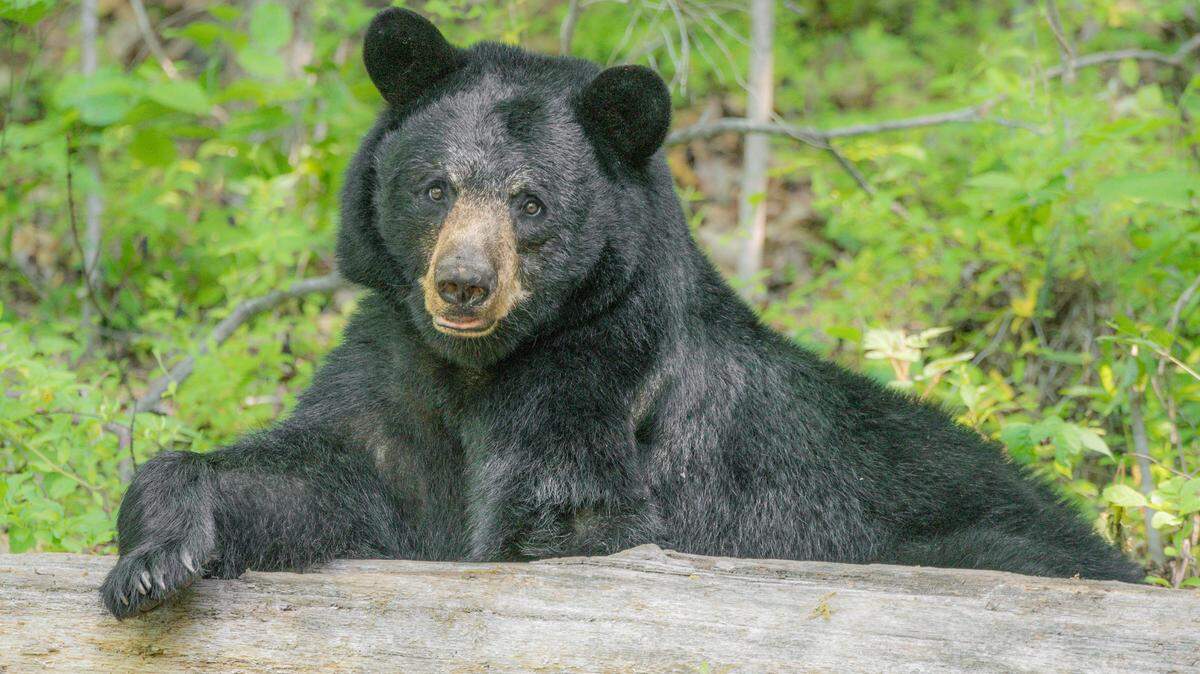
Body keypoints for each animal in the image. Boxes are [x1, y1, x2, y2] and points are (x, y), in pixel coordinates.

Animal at [100, 8, 1142, 619]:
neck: (480, 365)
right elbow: (318, 472)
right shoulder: (394, 378)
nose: (463, 285)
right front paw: (155, 553)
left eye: (529, 202)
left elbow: (566, 524)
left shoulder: (596, 382)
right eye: (436, 186)